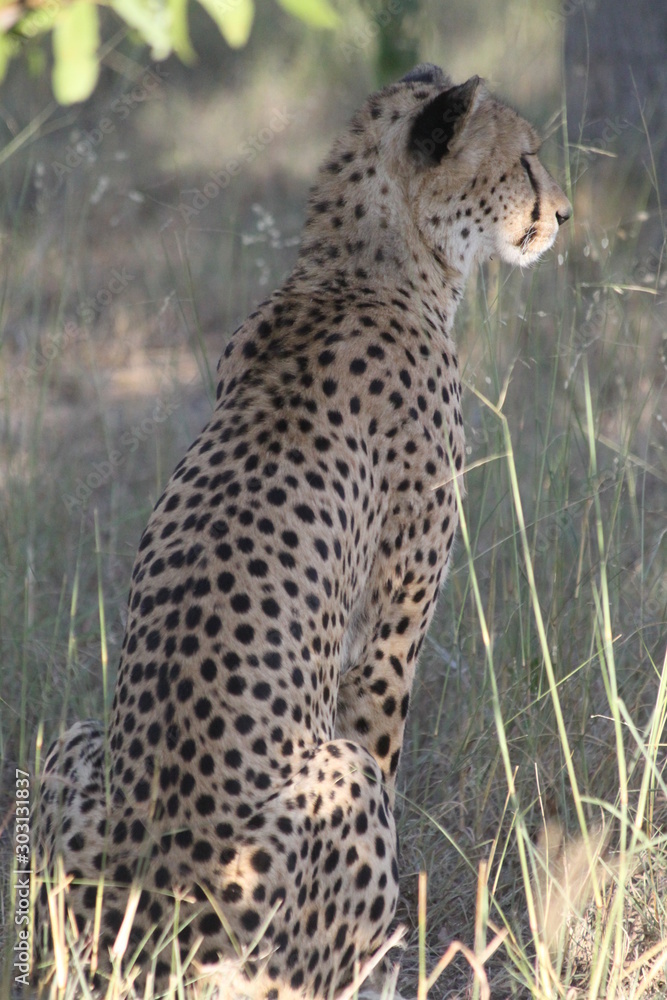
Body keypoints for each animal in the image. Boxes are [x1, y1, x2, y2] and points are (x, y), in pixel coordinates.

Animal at [35, 63, 571, 998]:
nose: (565, 214)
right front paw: (394, 947)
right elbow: (387, 748)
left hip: (74, 742)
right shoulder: (389, 635)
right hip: (326, 791)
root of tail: (156, 923)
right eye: (525, 160)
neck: (362, 267)